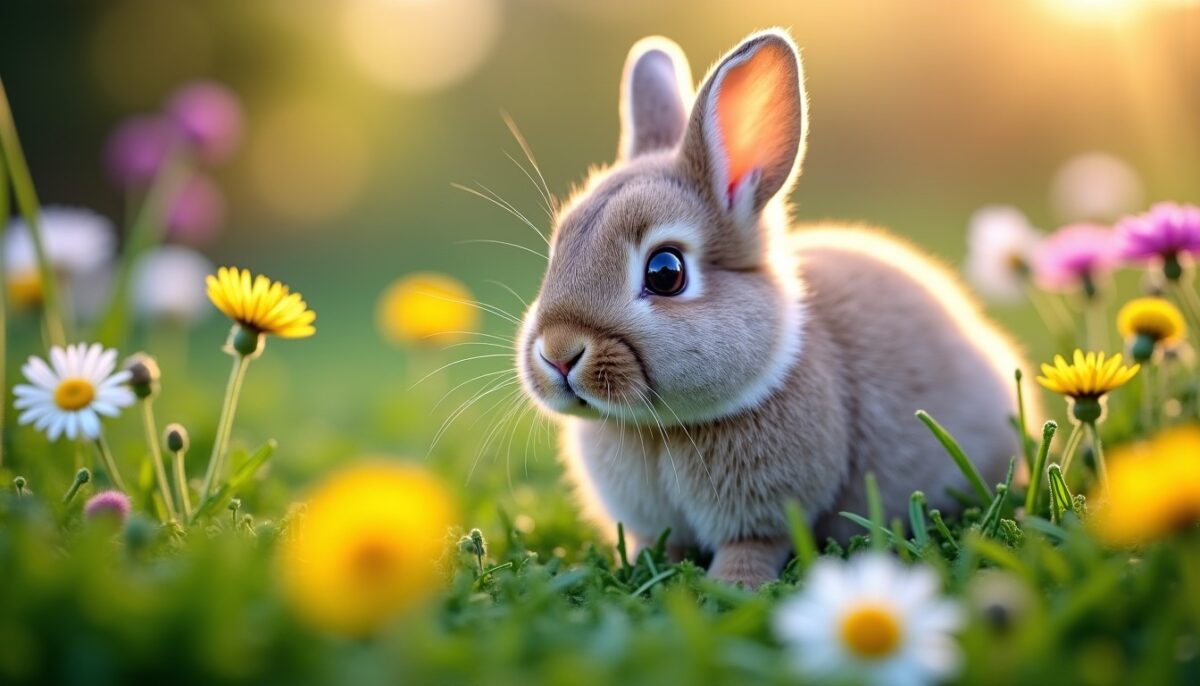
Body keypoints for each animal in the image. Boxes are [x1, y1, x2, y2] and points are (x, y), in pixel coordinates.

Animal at [515, 28, 1037, 587]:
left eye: (665, 272)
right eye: (558, 250)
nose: (559, 353)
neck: (659, 428)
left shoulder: (763, 517)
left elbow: (752, 546)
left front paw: (732, 587)